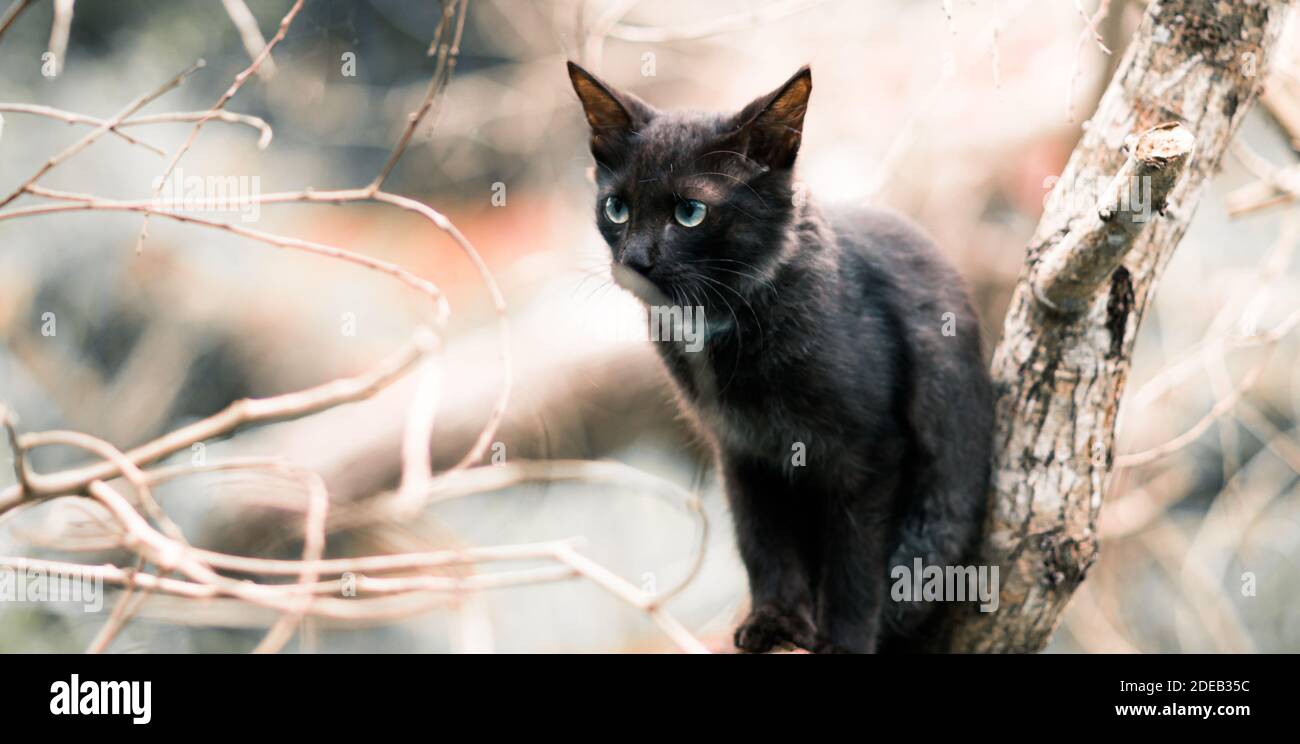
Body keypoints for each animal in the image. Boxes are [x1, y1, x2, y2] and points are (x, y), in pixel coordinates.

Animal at [569, 62, 993, 650]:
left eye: (690, 212)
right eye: (617, 208)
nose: (634, 260)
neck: (727, 333)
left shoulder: (871, 452)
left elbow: (854, 564)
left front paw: (844, 640)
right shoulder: (743, 452)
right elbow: (763, 543)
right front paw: (775, 621)